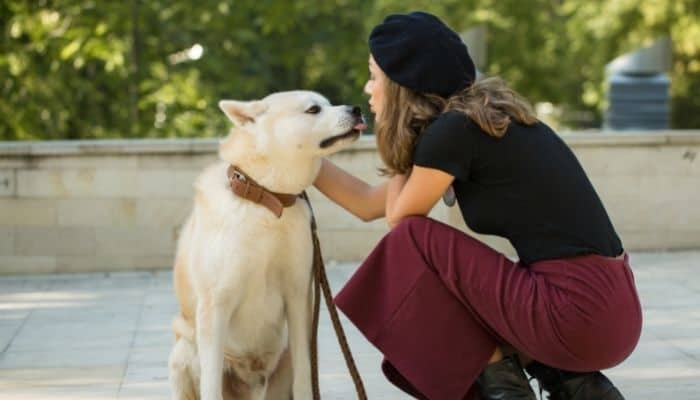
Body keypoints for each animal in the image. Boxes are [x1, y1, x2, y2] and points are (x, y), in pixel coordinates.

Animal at [169, 91, 366, 400]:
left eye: (328, 103)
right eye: (313, 109)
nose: (356, 109)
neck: (267, 201)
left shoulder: (299, 297)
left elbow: (304, 377)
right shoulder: (215, 304)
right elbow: (211, 385)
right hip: (183, 352)